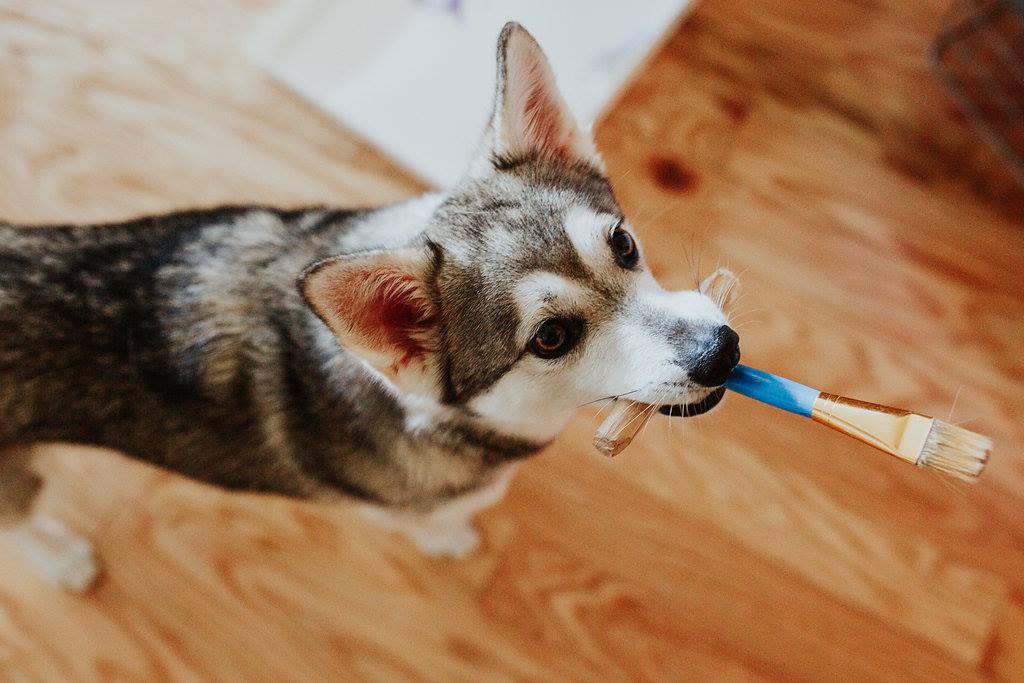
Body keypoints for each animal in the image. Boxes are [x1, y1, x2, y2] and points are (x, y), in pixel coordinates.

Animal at [0, 21, 737, 589]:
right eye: (550, 337)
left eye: (623, 243)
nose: (721, 352)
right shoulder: (403, 505)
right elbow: (434, 523)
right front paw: (452, 541)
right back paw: (59, 560)